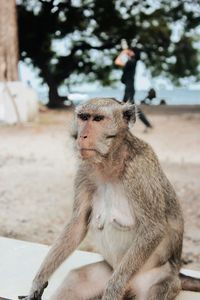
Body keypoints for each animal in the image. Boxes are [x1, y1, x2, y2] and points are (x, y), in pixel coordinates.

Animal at [20, 97, 200, 298]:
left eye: (98, 119)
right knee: (77, 279)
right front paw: (38, 281)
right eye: (83, 117)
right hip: (108, 271)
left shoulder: (140, 170)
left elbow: (153, 228)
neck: (110, 161)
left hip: (159, 278)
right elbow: (78, 223)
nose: (81, 136)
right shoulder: (85, 171)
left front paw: (113, 290)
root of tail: (177, 271)